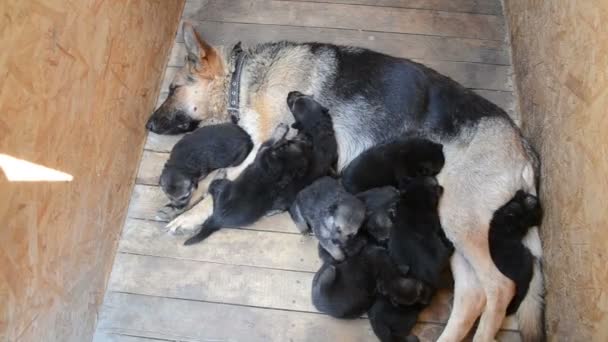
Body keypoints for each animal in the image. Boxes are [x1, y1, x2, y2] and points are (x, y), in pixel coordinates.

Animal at [146, 22, 540, 340]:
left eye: (172, 89)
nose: (148, 124)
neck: (243, 77)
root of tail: (523, 147)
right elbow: (215, 176)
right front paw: (181, 202)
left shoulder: (261, 146)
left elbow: (221, 184)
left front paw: (188, 214)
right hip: (450, 228)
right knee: (473, 296)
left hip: (459, 221)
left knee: (500, 288)